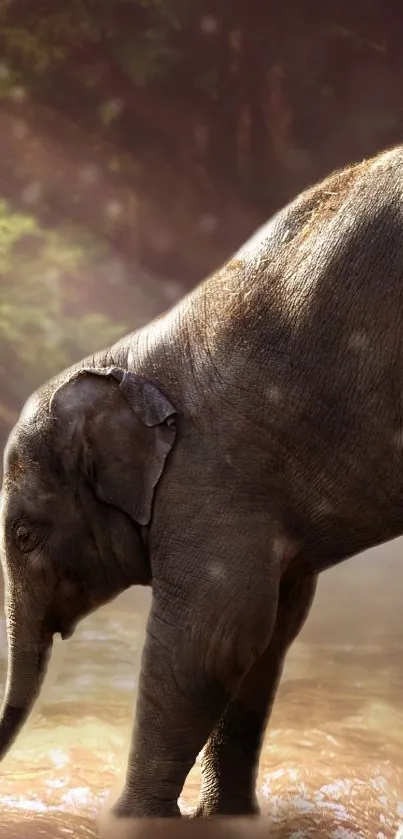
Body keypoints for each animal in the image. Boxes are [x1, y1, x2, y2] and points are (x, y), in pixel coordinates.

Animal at [0, 143, 403, 828]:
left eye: (24, 535)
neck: (128, 363)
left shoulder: (213, 476)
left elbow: (212, 635)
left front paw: (125, 824)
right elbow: (267, 635)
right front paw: (229, 821)